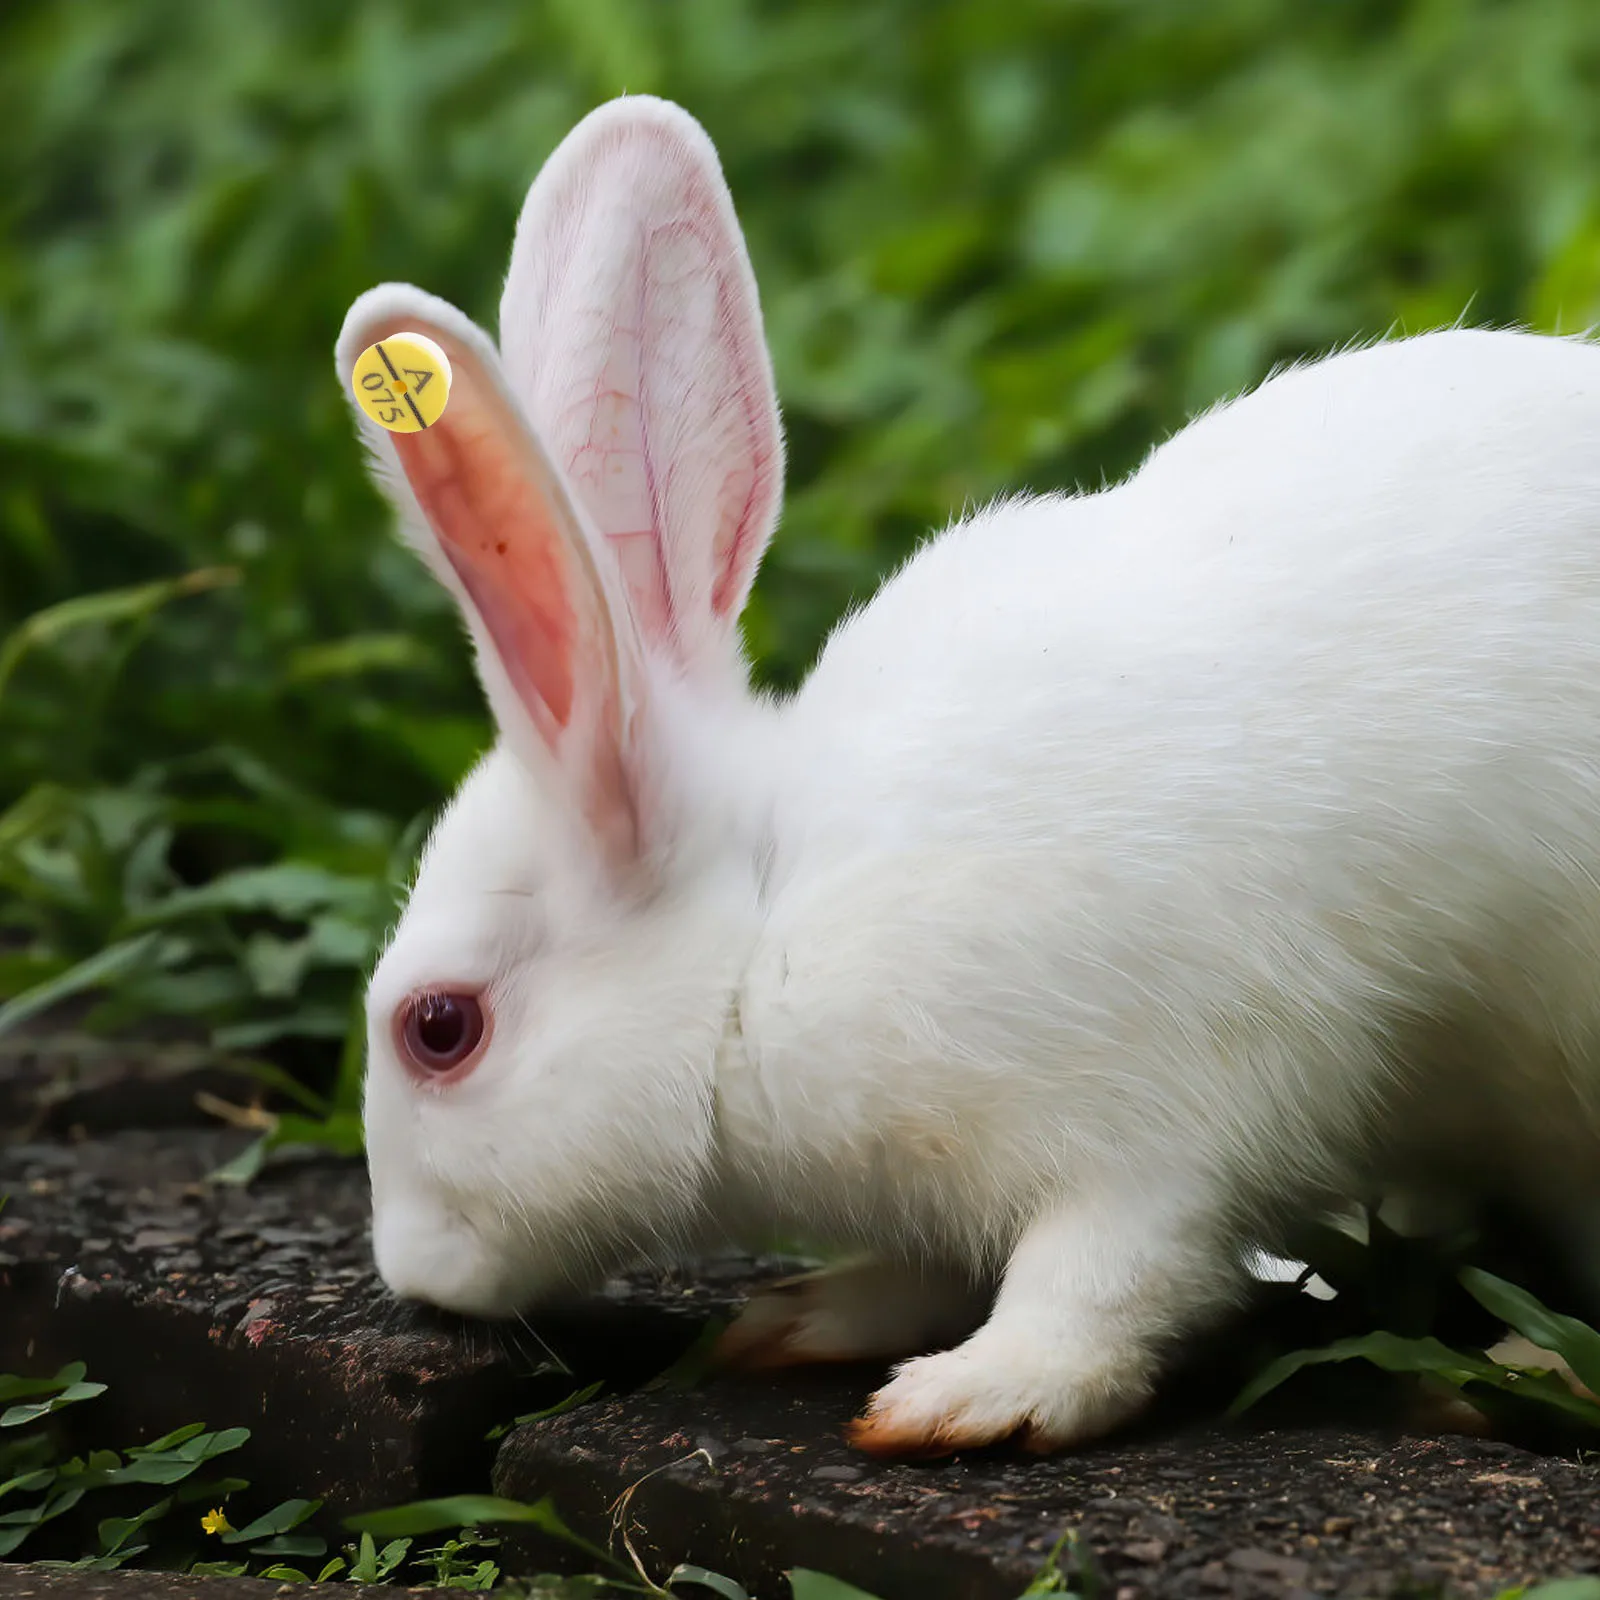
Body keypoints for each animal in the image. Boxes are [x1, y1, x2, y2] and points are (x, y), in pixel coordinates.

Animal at [340, 93, 1600, 1458]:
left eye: (440, 1028)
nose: (409, 1271)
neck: (763, 940)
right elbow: (934, 1264)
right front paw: (813, 1317)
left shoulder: (1151, 1127)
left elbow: (1106, 1278)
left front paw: (970, 1399)